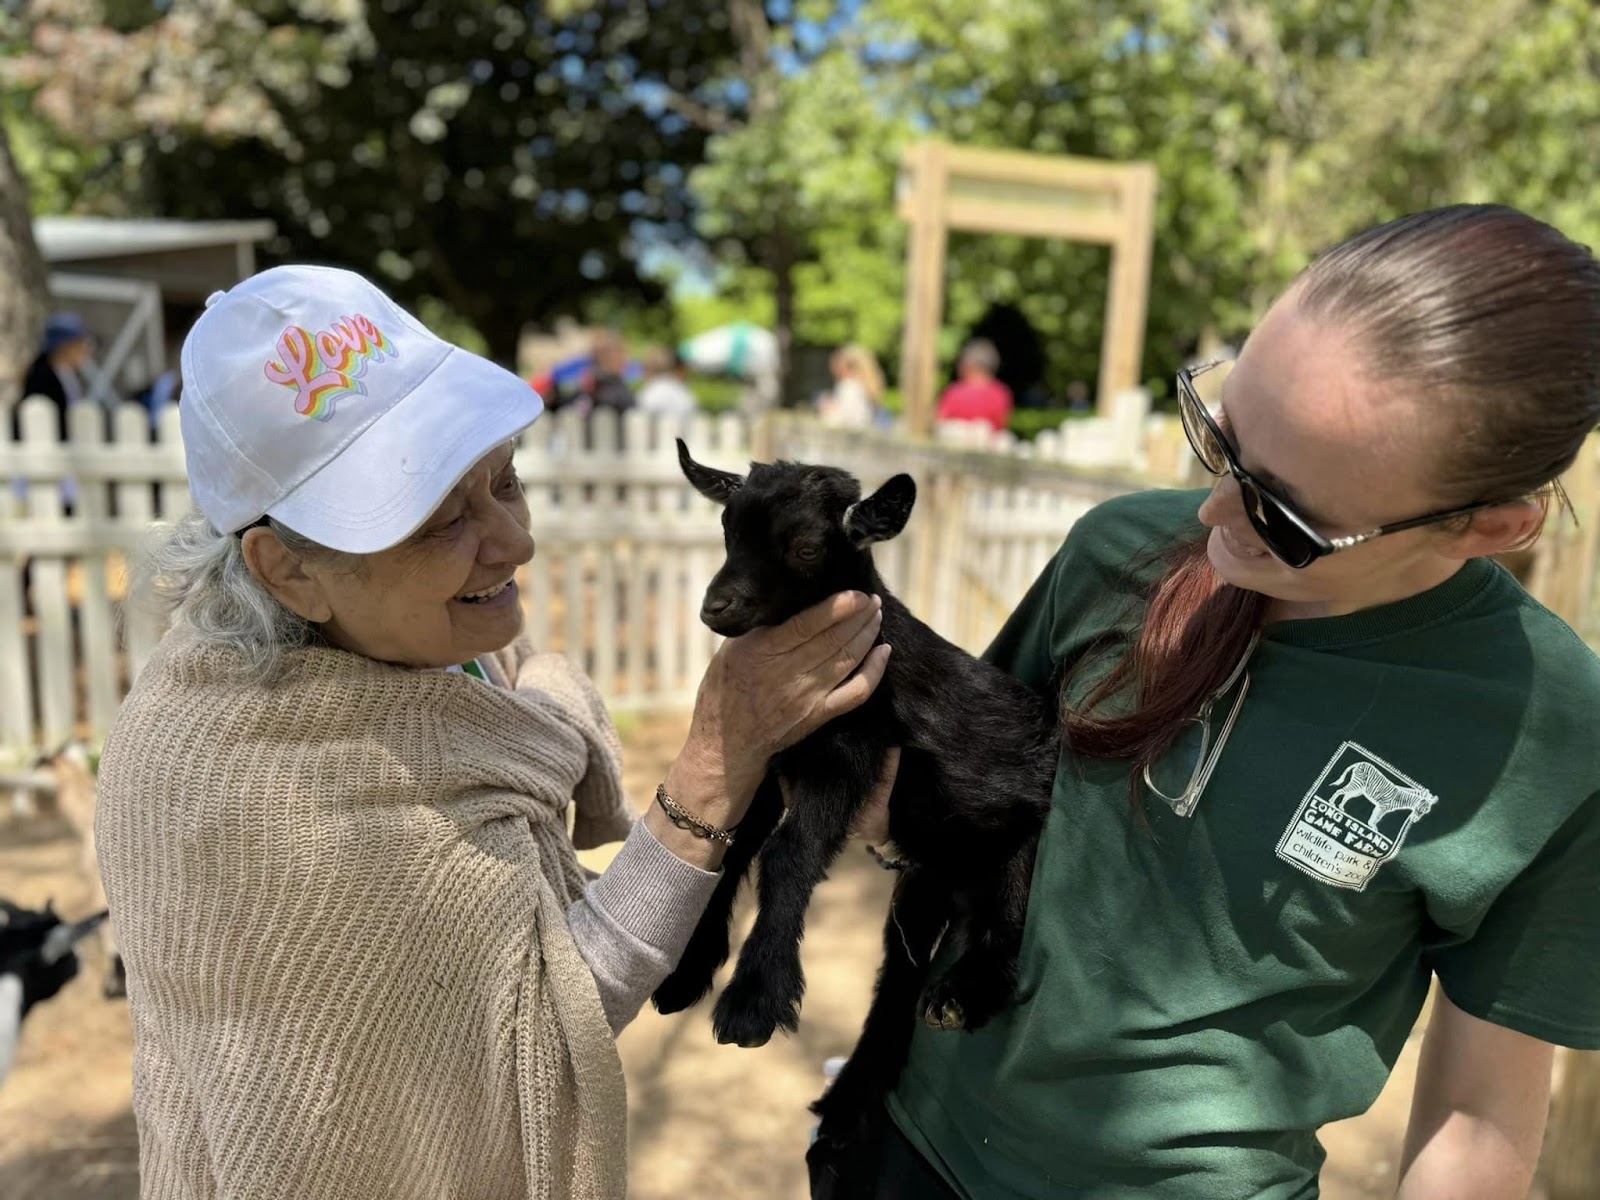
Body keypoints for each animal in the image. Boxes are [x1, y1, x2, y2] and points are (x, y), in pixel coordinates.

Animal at [656, 444, 1056, 1184]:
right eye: (727, 528)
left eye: (807, 547)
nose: (717, 607)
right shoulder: (770, 755)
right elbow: (730, 844)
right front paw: (688, 969)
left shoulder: (850, 754)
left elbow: (788, 854)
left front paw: (754, 998)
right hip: (923, 886)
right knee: (897, 977)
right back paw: (846, 1109)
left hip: (1014, 847)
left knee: (1006, 927)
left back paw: (961, 995)